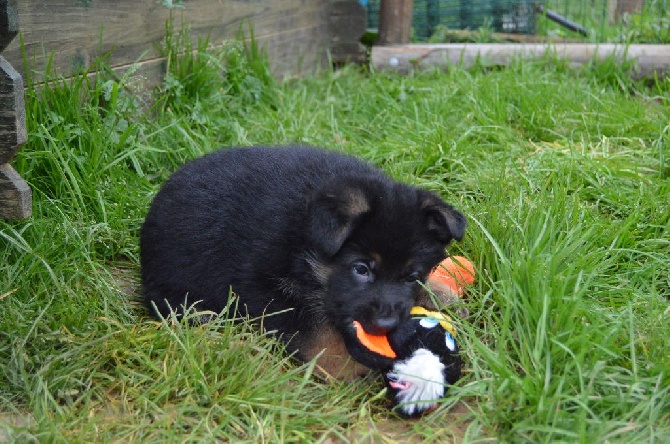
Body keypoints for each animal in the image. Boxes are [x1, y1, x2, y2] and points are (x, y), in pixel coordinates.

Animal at [142, 145, 468, 378]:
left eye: (411, 276)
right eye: (361, 269)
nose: (384, 325)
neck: (304, 230)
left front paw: (439, 294)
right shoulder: (260, 283)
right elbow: (313, 330)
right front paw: (344, 364)